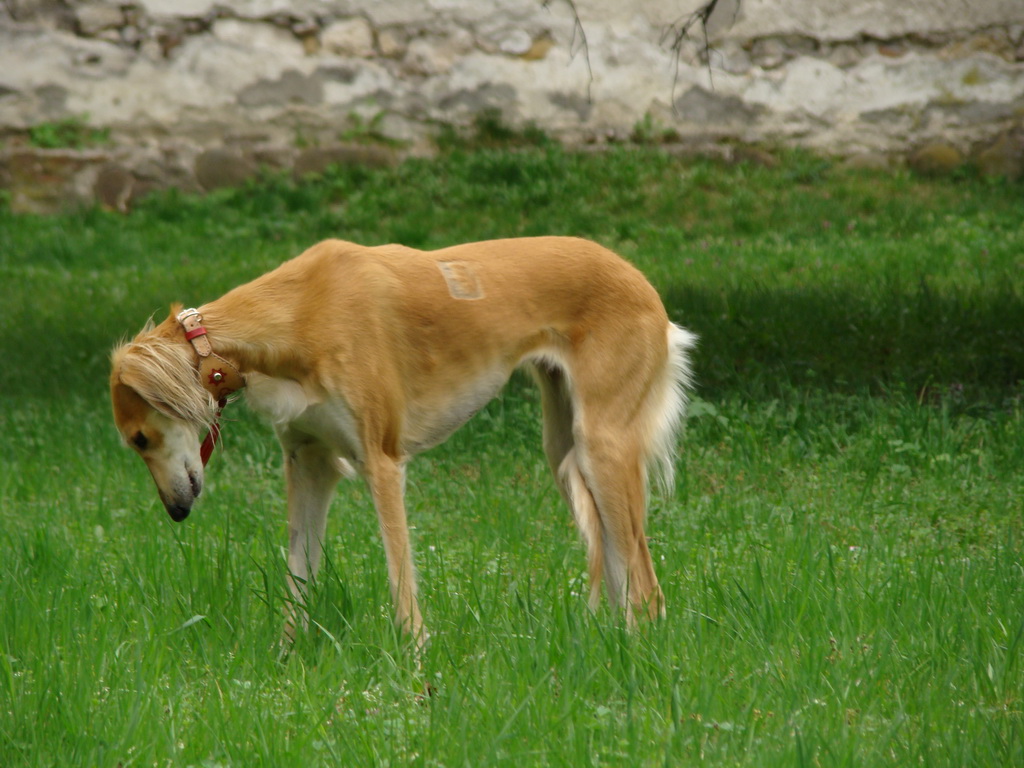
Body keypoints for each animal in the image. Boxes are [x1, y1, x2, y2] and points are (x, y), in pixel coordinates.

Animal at [112, 237, 696, 647]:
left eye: (141, 437)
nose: (176, 511)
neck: (299, 311)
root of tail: (640, 281)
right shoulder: (309, 461)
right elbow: (298, 576)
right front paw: (286, 659)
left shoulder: (383, 460)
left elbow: (400, 580)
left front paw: (415, 666)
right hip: (564, 450)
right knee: (621, 570)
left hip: (603, 448)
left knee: (648, 589)